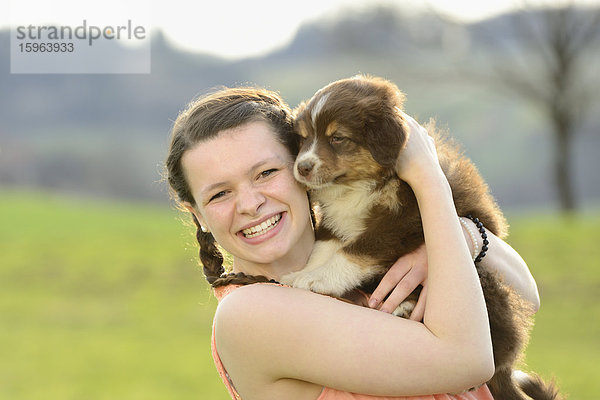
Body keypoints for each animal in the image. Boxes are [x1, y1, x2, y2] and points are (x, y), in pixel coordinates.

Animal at [282, 76, 556, 400]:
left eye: (338, 138)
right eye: (303, 138)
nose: (302, 167)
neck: (358, 186)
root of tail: (504, 367)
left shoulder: (408, 218)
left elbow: (357, 250)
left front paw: (318, 279)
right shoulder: (336, 223)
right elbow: (323, 248)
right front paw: (302, 273)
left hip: (484, 280)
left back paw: (407, 307)